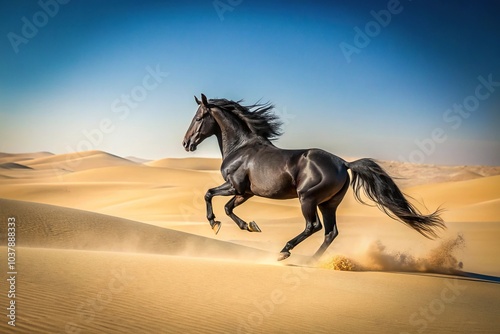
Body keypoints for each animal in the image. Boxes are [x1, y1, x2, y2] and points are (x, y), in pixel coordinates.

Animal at [184, 94, 446, 260]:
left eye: (198, 118)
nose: (186, 143)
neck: (241, 147)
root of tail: (343, 163)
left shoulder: (234, 186)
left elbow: (209, 195)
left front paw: (214, 223)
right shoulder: (245, 193)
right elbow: (228, 208)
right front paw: (250, 226)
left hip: (307, 199)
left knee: (314, 226)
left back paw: (285, 251)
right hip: (328, 204)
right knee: (331, 232)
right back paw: (312, 259)